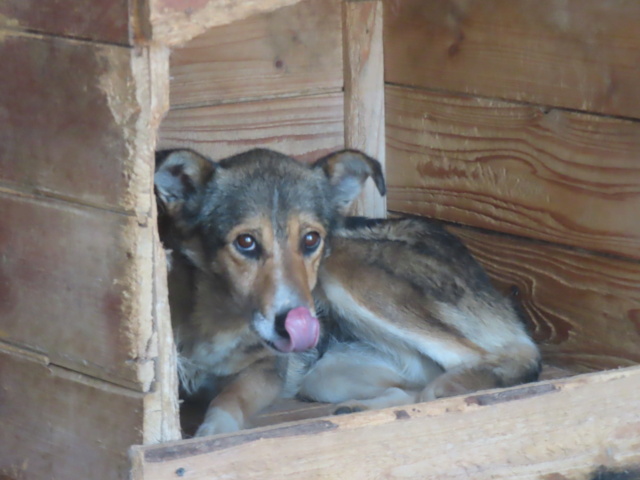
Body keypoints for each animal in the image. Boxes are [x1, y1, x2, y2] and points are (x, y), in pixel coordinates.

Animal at [155, 148, 540, 436]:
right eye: (245, 242)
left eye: (311, 239)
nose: (297, 326)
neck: (214, 319)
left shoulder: (268, 369)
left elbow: (227, 400)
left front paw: (211, 434)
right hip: (329, 376)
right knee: (409, 387)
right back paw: (362, 408)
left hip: (342, 263)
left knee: (498, 357)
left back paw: (445, 391)